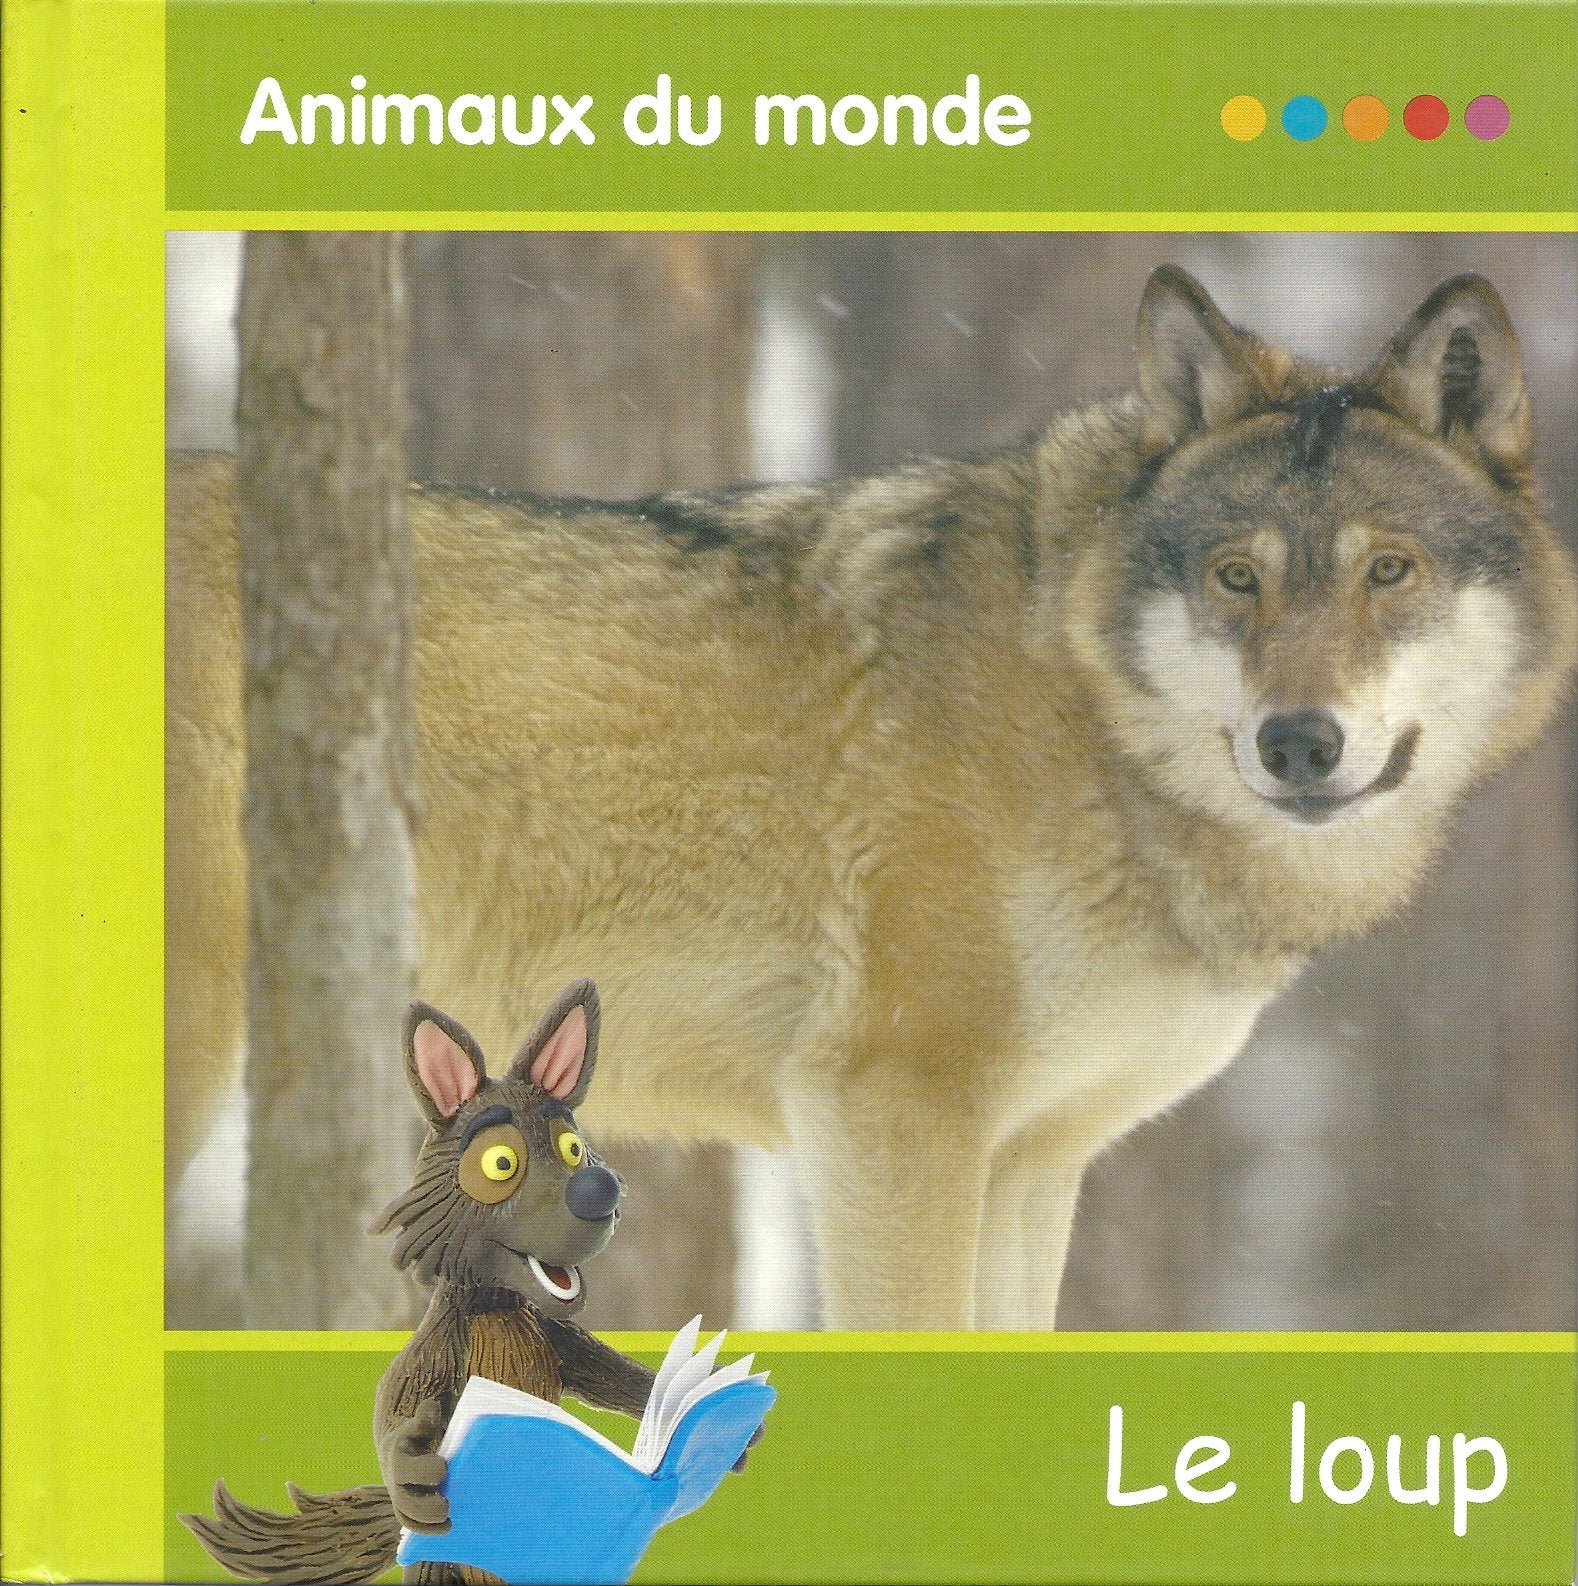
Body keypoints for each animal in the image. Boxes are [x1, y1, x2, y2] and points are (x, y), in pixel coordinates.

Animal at [166, 266, 1576, 1330]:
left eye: (1390, 571)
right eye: (1238, 577)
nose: (1299, 741)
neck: (1087, 729)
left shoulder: (1033, 1158)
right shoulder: (892, 1113)